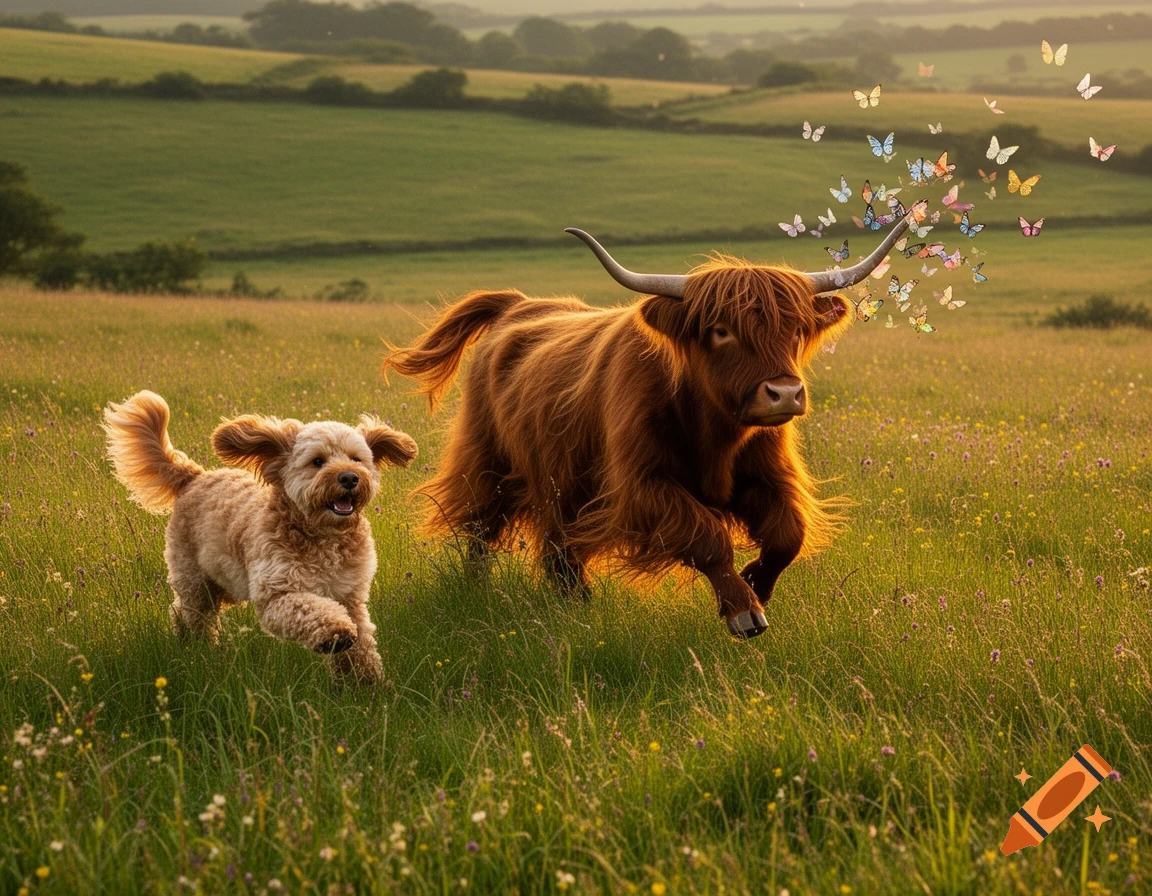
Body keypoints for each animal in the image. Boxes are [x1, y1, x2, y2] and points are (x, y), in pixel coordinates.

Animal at [385, 214, 914, 638]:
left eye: (797, 329)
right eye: (721, 330)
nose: (784, 393)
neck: (714, 434)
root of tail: (519, 303)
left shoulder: (770, 475)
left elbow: (788, 534)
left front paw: (754, 587)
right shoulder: (641, 487)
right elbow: (708, 536)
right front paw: (742, 611)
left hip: (558, 480)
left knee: (557, 543)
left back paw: (575, 602)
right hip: (490, 462)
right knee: (481, 528)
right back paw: (480, 588)